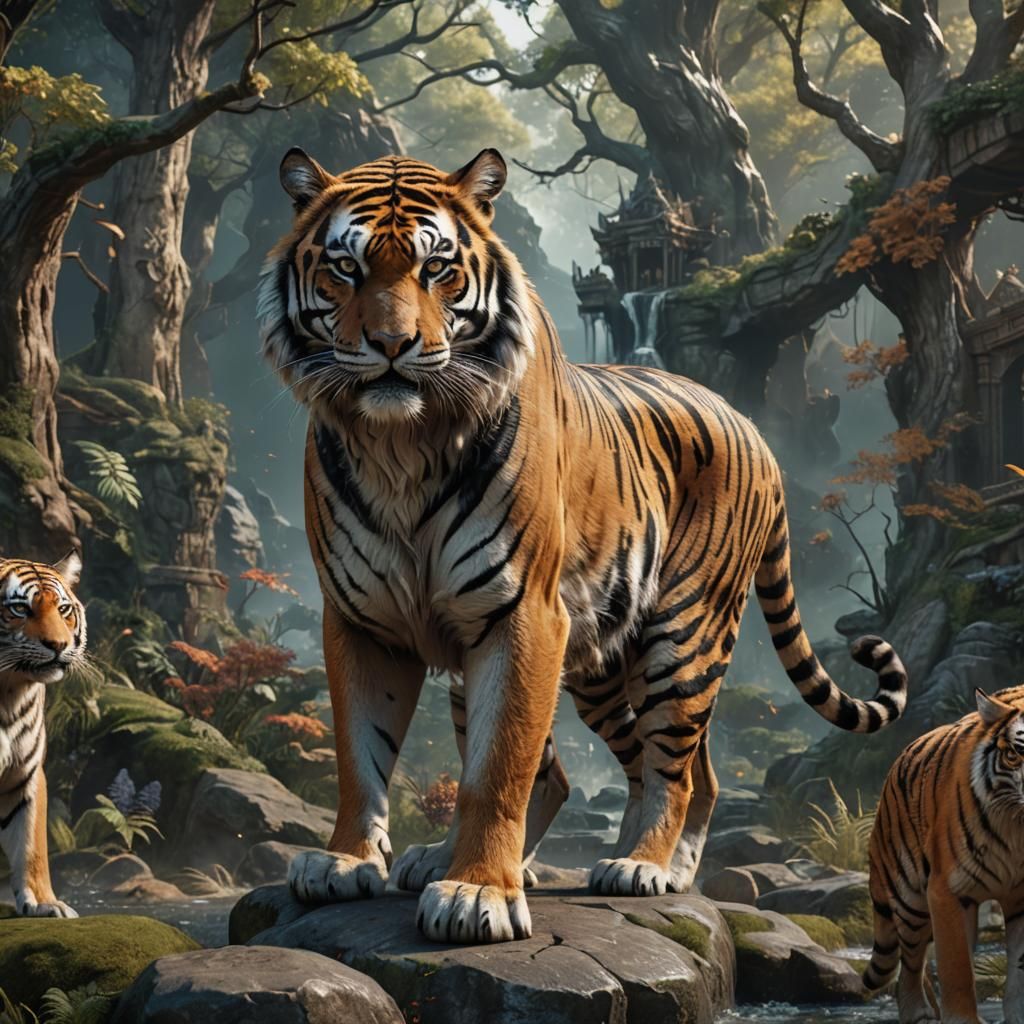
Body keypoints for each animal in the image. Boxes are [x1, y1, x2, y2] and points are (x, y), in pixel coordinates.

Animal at [259, 146, 910, 945]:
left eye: (436, 268)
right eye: (346, 269)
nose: (390, 347)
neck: (400, 446)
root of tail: (752, 426)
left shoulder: (524, 613)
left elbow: (498, 768)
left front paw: (479, 892)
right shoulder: (361, 618)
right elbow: (361, 752)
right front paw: (348, 863)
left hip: (682, 633)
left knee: (674, 765)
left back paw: (646, 867)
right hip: (596, 661)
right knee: (630, 770)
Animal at [864, 686, 1024, 1024]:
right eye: (1016, 754)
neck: (1019, 831)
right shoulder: (947, 890)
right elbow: (955, 965)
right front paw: (963, 1019)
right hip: (911, 901)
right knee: (910, 966)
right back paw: (920, 1014)